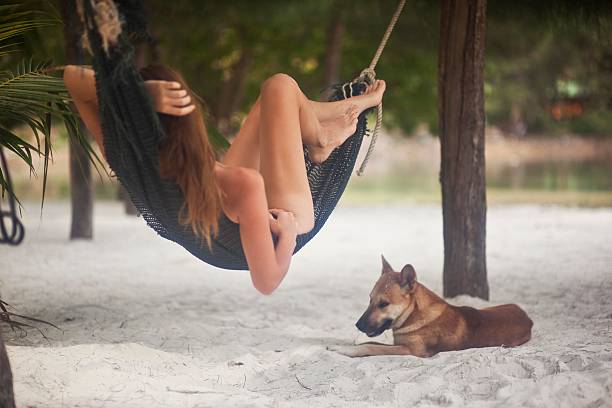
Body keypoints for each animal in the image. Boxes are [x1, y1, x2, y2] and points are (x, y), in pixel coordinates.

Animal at [328, 258, 532, 356]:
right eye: (369, 299)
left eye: (383, 304)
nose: (358, 325)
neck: (414, 314)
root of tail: (528, 318)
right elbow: (368, 343)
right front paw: (340, 345)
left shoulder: (411, 350)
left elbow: (371, 348)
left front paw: (346, 350)